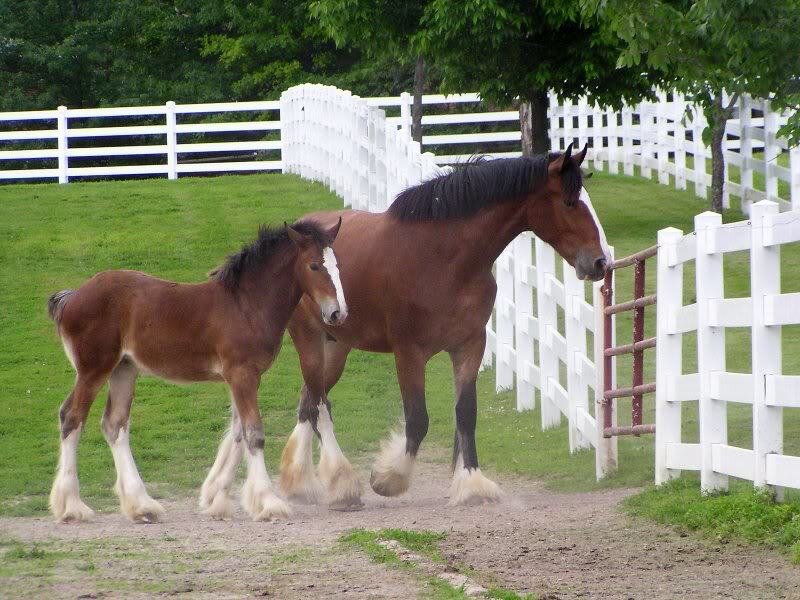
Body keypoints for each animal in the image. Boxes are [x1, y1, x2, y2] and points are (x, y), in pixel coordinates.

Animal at [47, 219, 347, 523]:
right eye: (314, 265)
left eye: (337, 265)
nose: (337, 313)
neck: (246, 305)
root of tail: (71, 297)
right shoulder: (242, 374)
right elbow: (253, 433)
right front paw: (268, 503)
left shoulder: (244, 377)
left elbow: (238, 433)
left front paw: (218, 501)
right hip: (93, 370)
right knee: (72, 417)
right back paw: (72, 507)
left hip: (124, 370)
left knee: (114, 424)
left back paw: (142, 506)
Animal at [278, 143, 611, 509]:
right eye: (569, 202)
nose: (600, 262)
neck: (442, 257)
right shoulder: (408, 354)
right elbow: (417, 420)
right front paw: (389, 478)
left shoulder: (469, 345)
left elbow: (466, 412)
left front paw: (472, 483)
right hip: (309, 340)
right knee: (317, 403)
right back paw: (332, 482)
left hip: (336, 346)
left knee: (308, 401)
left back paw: (303, 481)